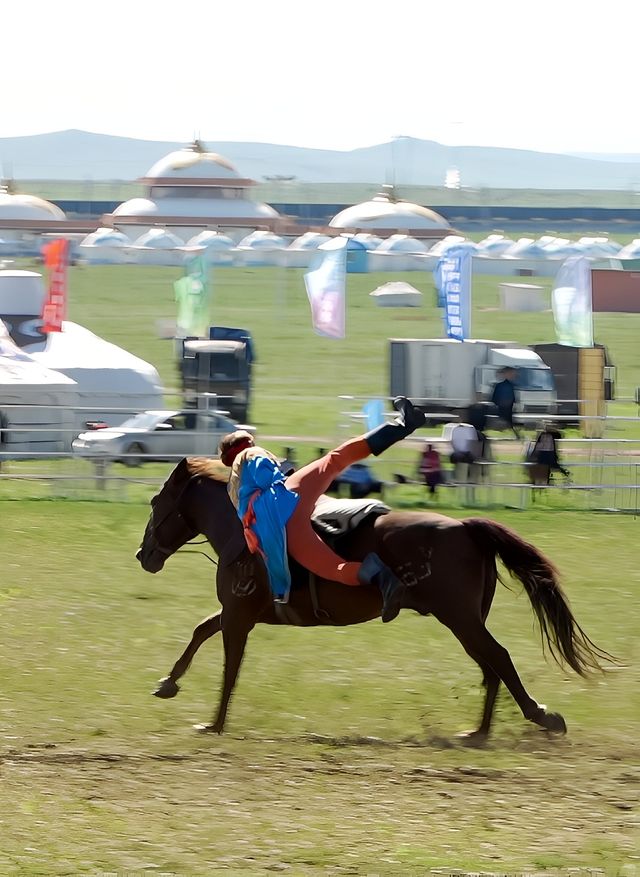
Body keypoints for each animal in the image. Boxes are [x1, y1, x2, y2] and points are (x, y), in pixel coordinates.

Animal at [136, 458, 608, 740]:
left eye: (157, 502)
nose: (144, 555)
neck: (243, 528)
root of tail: (465, 527)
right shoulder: (239, 613)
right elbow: (200, 630)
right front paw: (168, 683)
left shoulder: (239, 616)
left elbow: (229, 668)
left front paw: (214, 723)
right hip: (465, 620)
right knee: (490, 665)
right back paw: (478, 732)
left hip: (460, 619)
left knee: (499, 659)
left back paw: (539, 717)